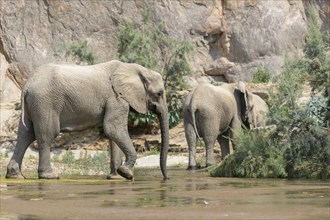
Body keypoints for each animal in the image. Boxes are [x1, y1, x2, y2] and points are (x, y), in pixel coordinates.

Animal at [5, 60, 169, 180]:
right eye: (159, 93)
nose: (166, 178)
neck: (135, 68)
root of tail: (27, 86)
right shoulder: (116, 97)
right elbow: (113, 128)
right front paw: (126, 174)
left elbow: (113, 133)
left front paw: (115, 177)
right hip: (45, 102)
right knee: (47, 134)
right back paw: (49, 176)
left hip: (34, 104)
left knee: (25, 134)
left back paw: (15, 176)